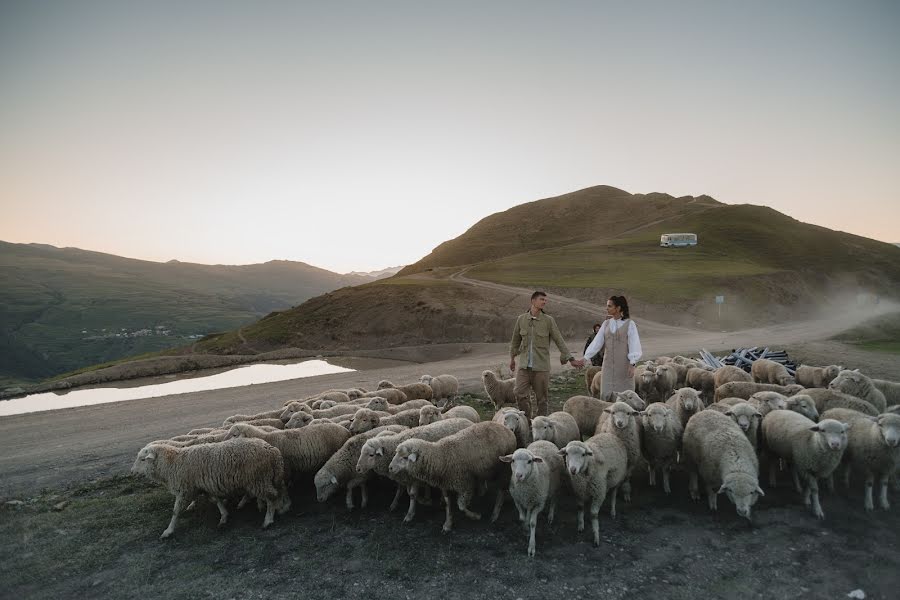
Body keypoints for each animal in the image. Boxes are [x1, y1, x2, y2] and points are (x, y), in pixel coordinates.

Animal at [128, 436, 284, 540]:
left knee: (272, 497)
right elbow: (216, 501)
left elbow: (175, 511)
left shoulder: (185, 489)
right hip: (258, 479)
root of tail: (273, 450)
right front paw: (224, 516)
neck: (172, 463)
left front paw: (168, 530)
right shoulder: (205, 485)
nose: (132, 472)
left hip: (258, 479)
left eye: (142, 459)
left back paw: (268, 520)